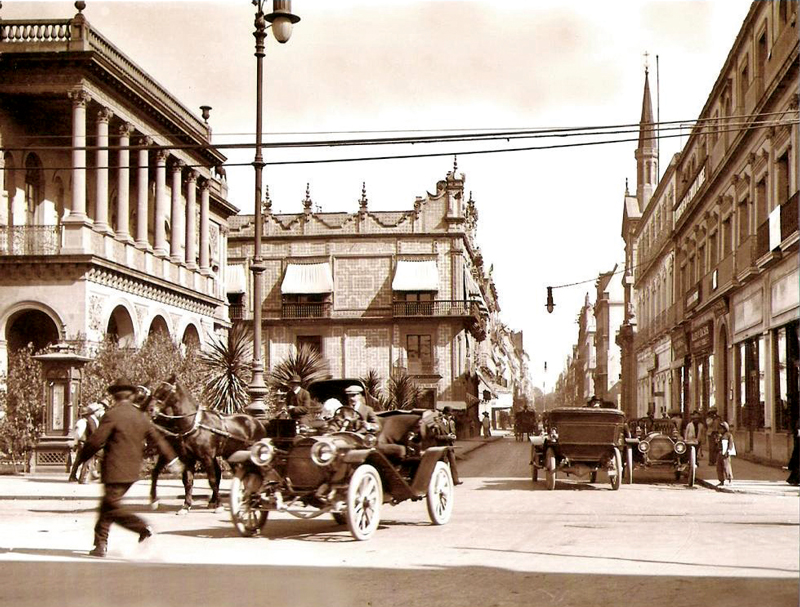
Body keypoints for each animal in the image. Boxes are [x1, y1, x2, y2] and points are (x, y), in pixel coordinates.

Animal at [143, 378, 266, 516]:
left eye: (164, 392)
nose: (150, 410)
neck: (194, 425)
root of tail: (257, 422)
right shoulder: (188, 459)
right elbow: (188, 482)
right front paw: (186, 506)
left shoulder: (206, 457)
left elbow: (212, 480)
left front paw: (219, 505)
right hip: (231, 454)